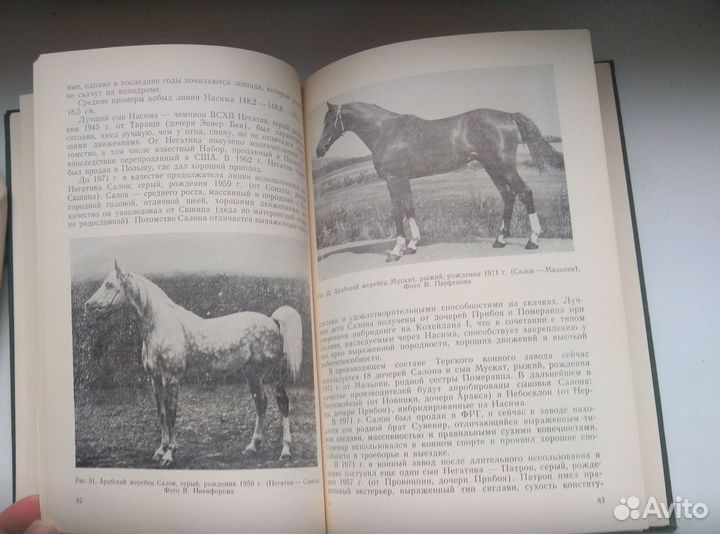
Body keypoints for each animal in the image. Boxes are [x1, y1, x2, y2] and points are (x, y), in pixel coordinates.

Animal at [83, 261, 303, 468]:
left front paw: (169, 455)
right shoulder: (155, 380)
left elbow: (171, 415)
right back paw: (252, 447)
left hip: (271, 374)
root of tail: (273, 321)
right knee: (261, 403)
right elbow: (161, 413)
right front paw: (160, 450)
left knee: (282, 402)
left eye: (109, 284)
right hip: (253, 375)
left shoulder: (171, 379)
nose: (88, 305)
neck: (160, 326)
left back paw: (285, 451)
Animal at [315, 102, 564, 261]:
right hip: (493, 168)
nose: (319, 150)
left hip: (505, 167)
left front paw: (396, 251)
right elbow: (410, 208)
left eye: (330, 121)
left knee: (524, 192)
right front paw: (413, 245)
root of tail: (509, 116)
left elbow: (397, 212)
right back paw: (500, 239)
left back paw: (533, 240)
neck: (385, 131)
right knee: (508, 196)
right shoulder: (403, 180)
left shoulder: (393, 180)